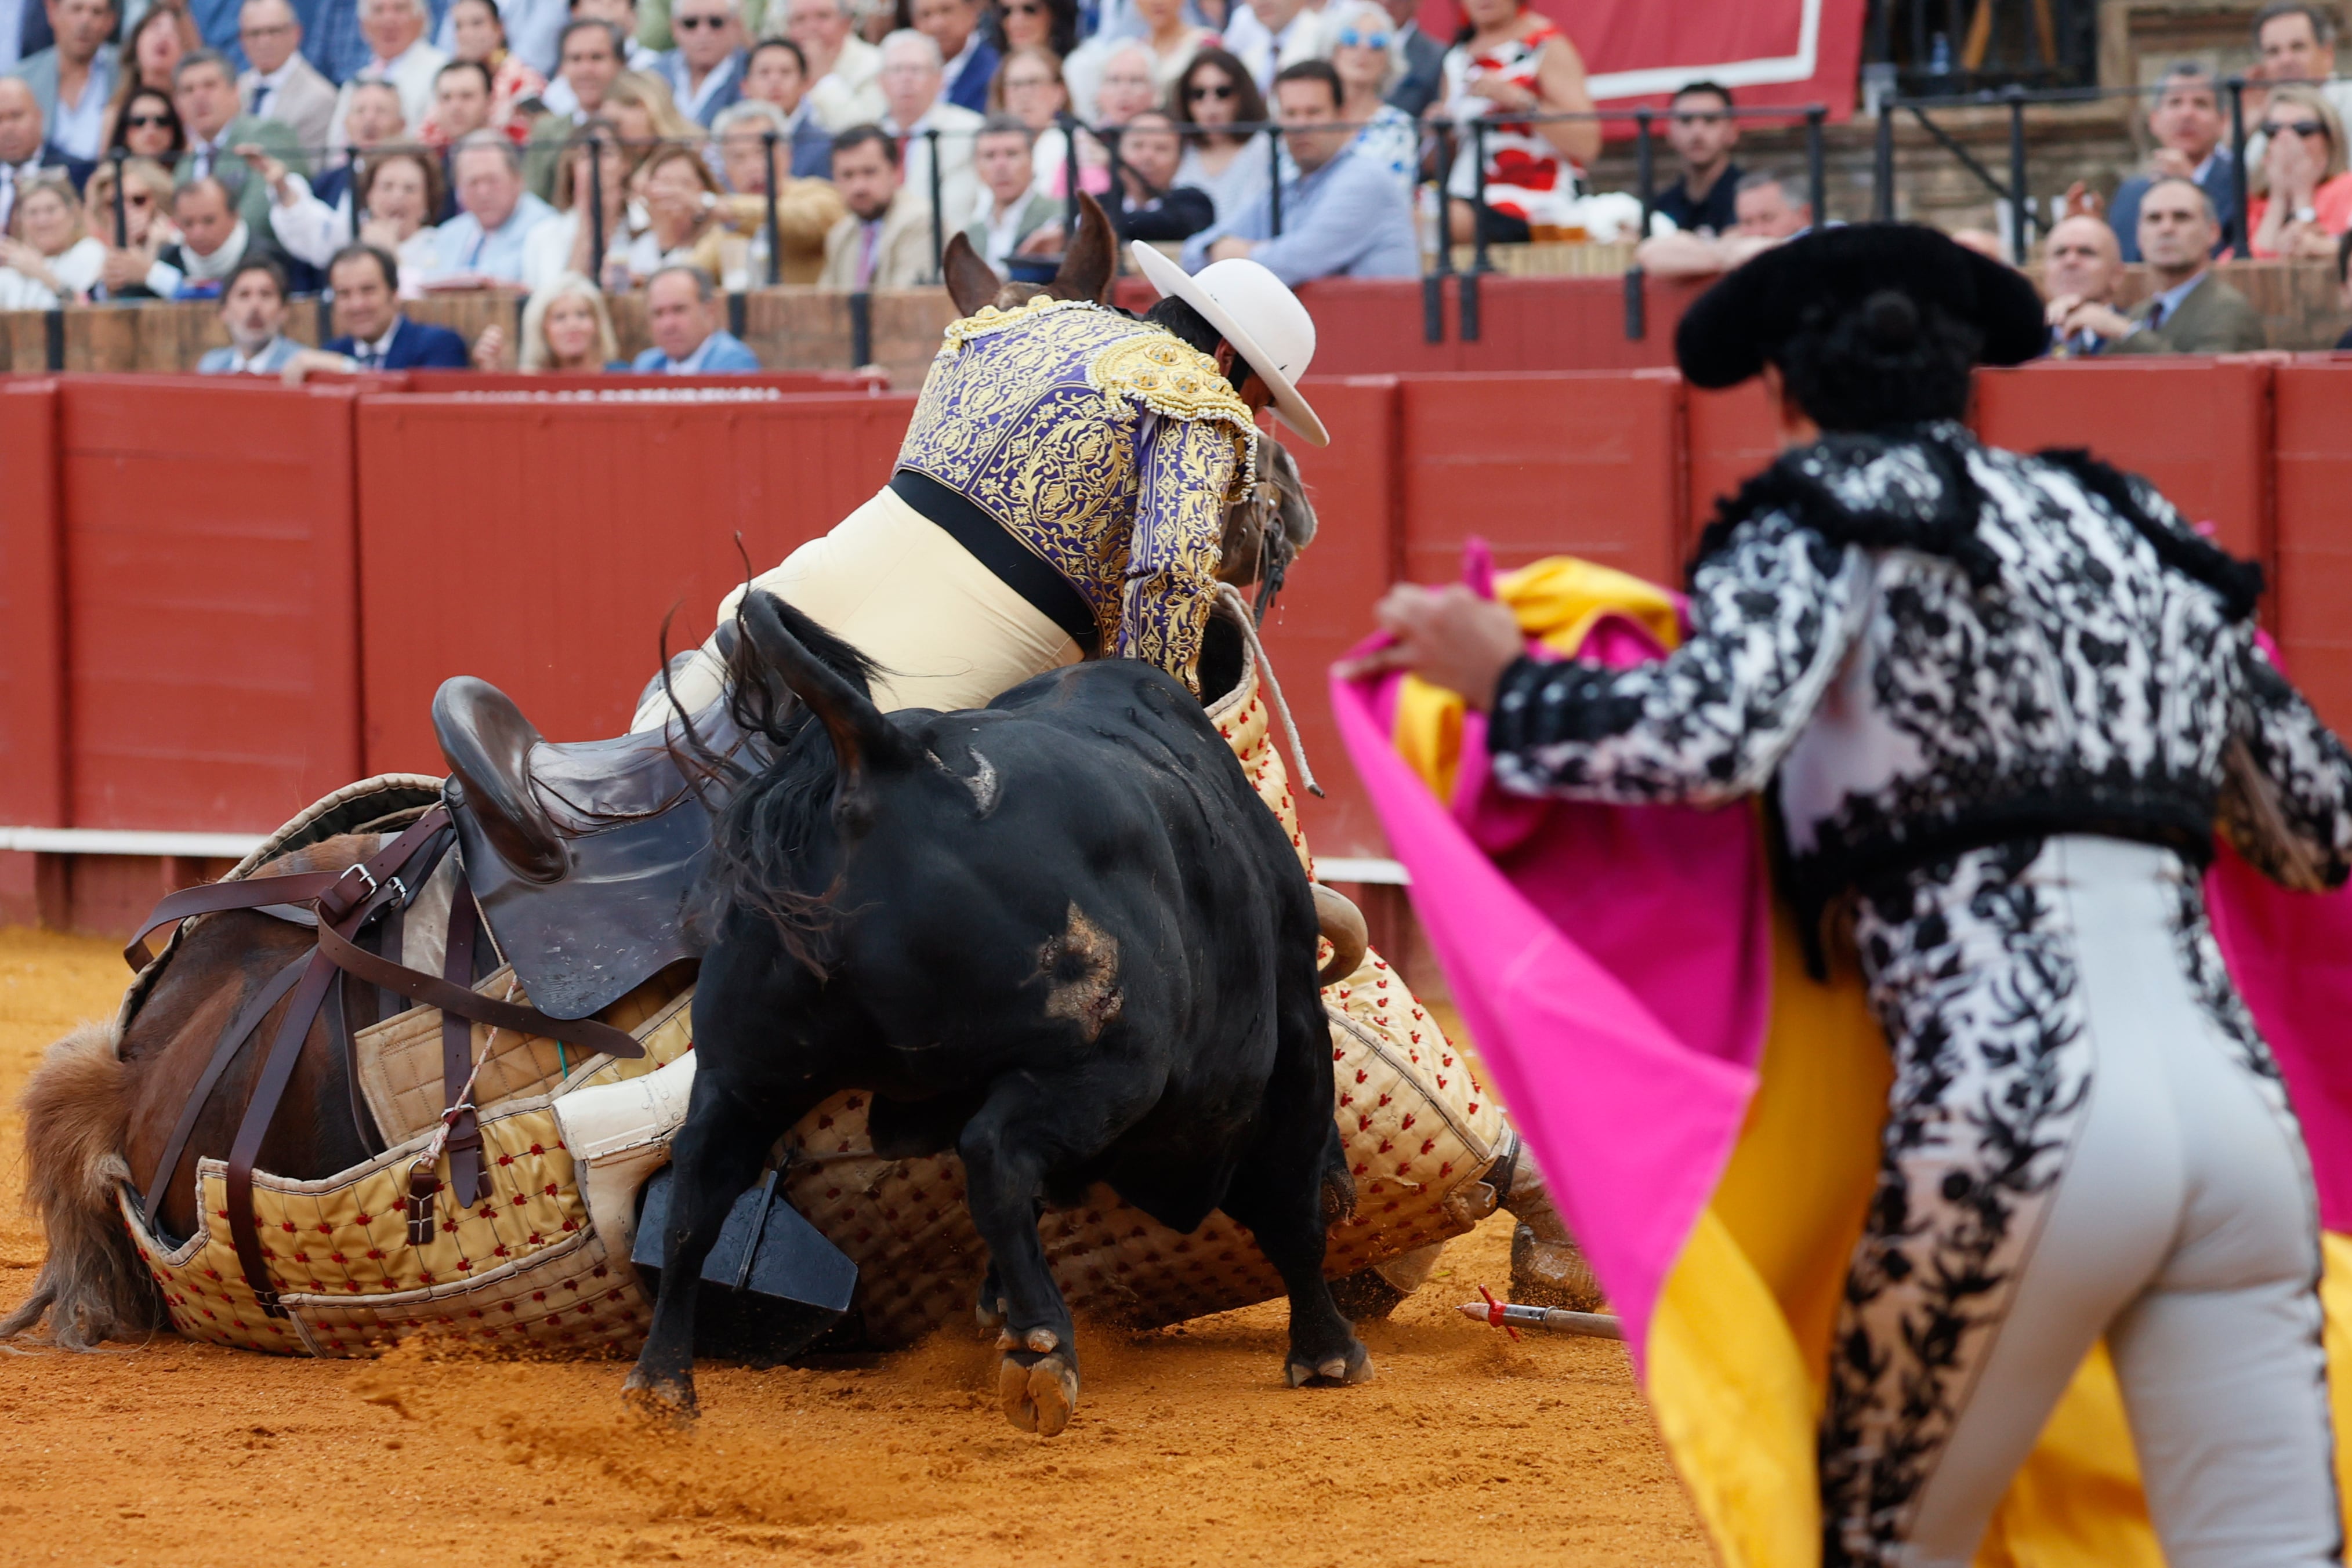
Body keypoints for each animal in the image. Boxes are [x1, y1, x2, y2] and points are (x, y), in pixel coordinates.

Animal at [625, 592, 1373, 1439]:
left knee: (697, 1188)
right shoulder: (1289, 1029)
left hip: (745, 1070)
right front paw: (1325, 1353)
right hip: (1102, 1063)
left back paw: (662, 1384)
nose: (1347, 1191)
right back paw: (1043, 1351)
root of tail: (885, 756)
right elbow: (1289, 1205)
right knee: (996, 1157)